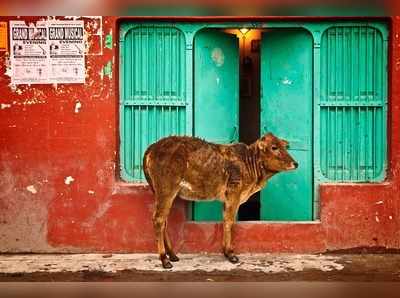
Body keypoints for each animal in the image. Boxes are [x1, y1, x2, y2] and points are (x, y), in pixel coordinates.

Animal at [143, 132, 296, 268]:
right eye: (274, 147)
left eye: (285, 146)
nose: (295, 163)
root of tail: (153, 147)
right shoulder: (234, 191)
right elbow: (229, 221)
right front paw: (230, 254)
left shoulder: (228, 198)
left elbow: (225, 220)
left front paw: (226, 251)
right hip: (166, 189)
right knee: (158, 220)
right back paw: (164, 259)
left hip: (161, 192)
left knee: (164, 221)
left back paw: (173, 255)